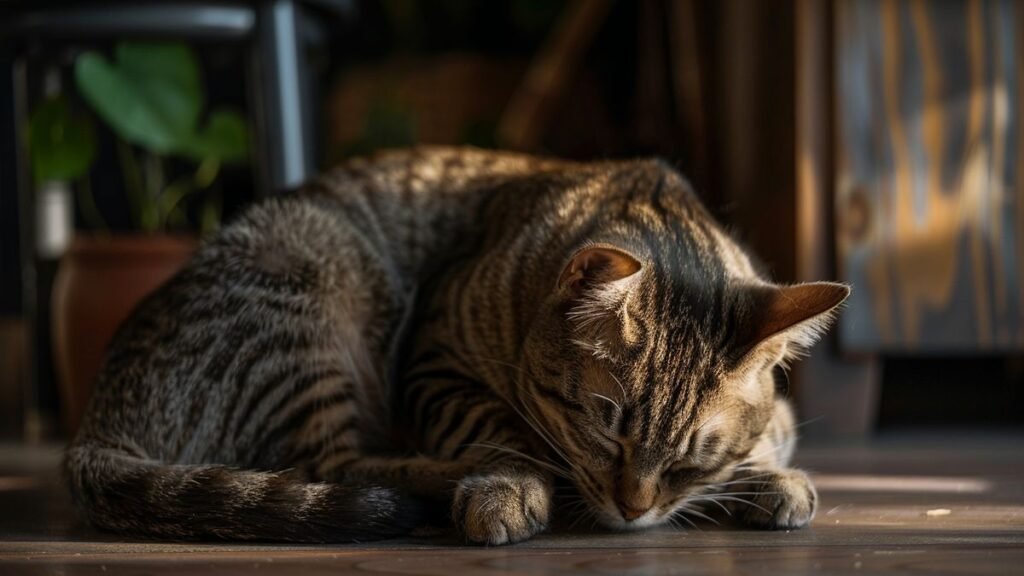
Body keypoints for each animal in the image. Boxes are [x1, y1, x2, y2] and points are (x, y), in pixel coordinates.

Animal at [64, 145, 847, 541]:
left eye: (689, 459)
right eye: (605, 427)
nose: (634, 510)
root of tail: (100, 413)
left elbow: (769, 439)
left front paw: (760, 477)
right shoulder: (433, 363)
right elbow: (502, 429)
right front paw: (512, 484)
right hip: (312, 281)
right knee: (334, 467)